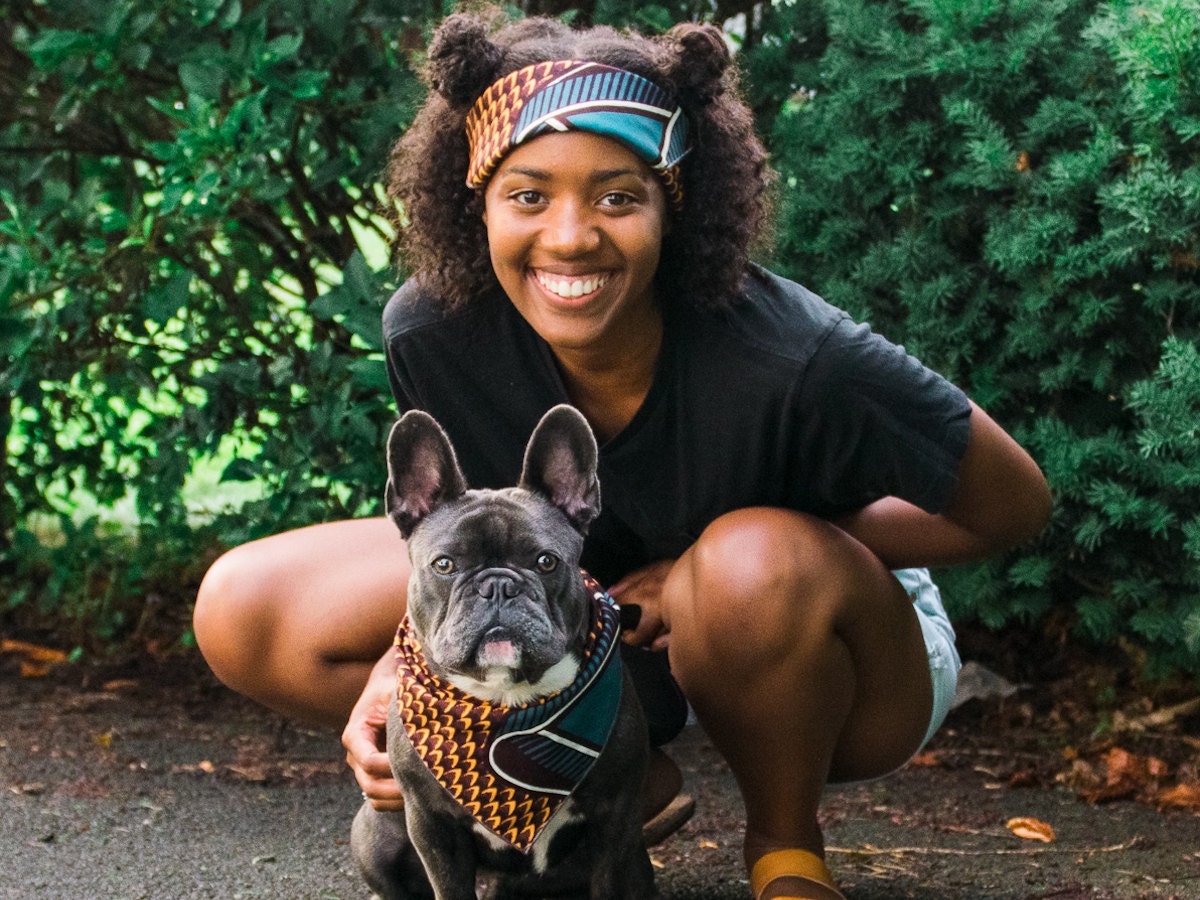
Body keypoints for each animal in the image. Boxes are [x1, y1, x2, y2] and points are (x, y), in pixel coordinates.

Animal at [350, 408, 657, 900]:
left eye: (546, 561)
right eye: (444, 564)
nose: (498, 585)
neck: (505, 699)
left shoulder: (616, 820)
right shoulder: (431, 826)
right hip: (373, 836)